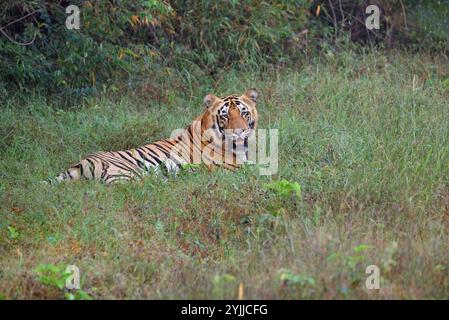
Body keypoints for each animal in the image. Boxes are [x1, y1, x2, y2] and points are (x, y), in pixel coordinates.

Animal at [49, 89, 258, 185]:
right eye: (225, 116)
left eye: (243, 113)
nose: (239, 132)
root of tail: (80, 163)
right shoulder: (231, 169)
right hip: (128, 174)